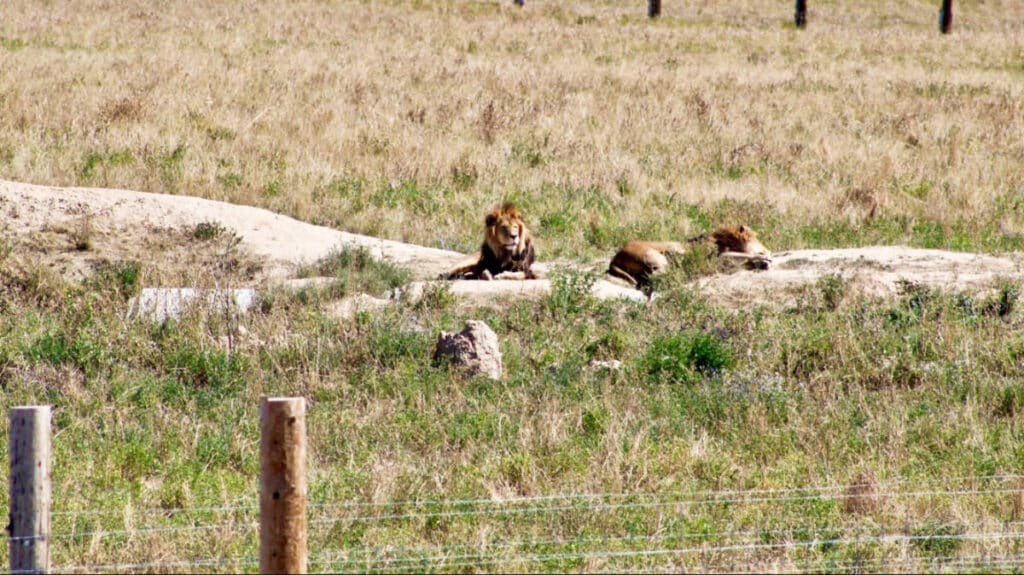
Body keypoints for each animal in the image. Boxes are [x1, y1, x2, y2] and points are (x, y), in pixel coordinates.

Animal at [607, 225, 771, 289]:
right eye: (759, 240)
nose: (768, 250)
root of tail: (615, 257)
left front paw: (762, 262)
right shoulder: (717, 258)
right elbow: (743, 255)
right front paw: (763, 259)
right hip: (656, 257)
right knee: (657, 276)